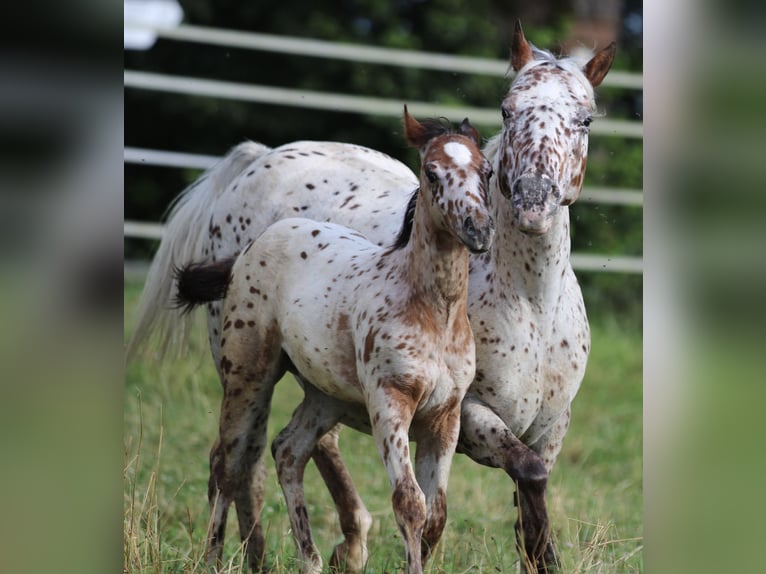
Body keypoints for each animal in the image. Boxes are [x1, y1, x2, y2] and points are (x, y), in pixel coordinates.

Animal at [176, 109, 496, 574]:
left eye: (486, 171)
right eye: (432, 172)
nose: (478, 229)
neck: (434, 312)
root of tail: (253, 246)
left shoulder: (445, 416)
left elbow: (436, 515)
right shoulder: (389, 402)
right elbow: (409, 503)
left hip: (324, 396)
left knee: (288, 451)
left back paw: (309, 560)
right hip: (247, 377)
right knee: (229, 466)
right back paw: (213, 558)